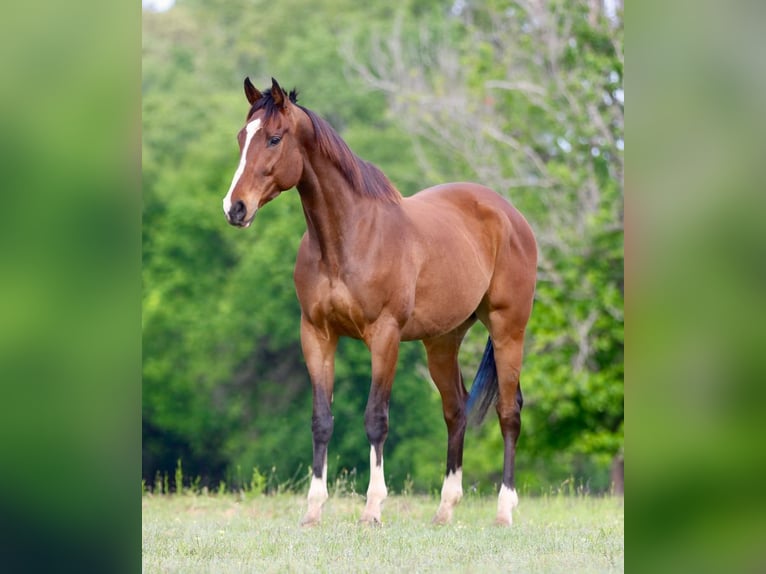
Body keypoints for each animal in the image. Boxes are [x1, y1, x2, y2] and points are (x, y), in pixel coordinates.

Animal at [223, 78, 537, 526]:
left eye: (274, 138)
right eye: (240, 137)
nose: (235, 208)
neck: (347, 238)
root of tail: (510, 215)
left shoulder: (384, 337)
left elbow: (376, 419)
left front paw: (372, 508)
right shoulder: (316, 335)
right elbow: (321, 420)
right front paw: (313, 509)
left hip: (509, 330)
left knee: (509, 412)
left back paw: (504, 510)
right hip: (442, 341)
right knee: (455, 410)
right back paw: (445, 509)